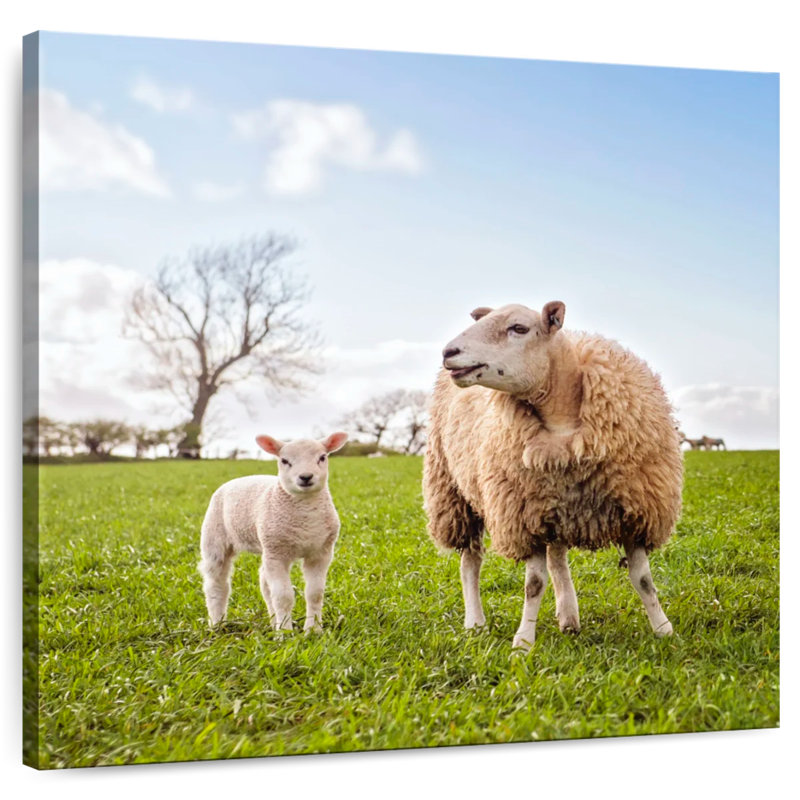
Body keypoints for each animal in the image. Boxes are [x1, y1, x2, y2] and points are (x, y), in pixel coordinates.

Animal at [198, 432, 348, 632]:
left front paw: (313, 630)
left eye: (322, 457)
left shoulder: (321, 553)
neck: (306, 518)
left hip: (267, 546)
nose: (305, 477)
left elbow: (315, 594)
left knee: (264, 582)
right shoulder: (277, 554)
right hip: (215, 538)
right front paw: (286, 633)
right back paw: (216, 624)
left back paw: (272, 622)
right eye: (284, 461)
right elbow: (284, 597)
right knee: (216, 584)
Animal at [423, 302, 683, 651]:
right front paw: (523, 642)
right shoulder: (523, 516)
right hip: (455, 496)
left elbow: (642, 580)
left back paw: (569, 618)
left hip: (556, 506)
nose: (448, 352)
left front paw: (664, 630)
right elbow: (533, 584)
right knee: (470, 563)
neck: (563, 423)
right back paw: (475, 623)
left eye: (519, 328)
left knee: (557, 558)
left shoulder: (636, 511)